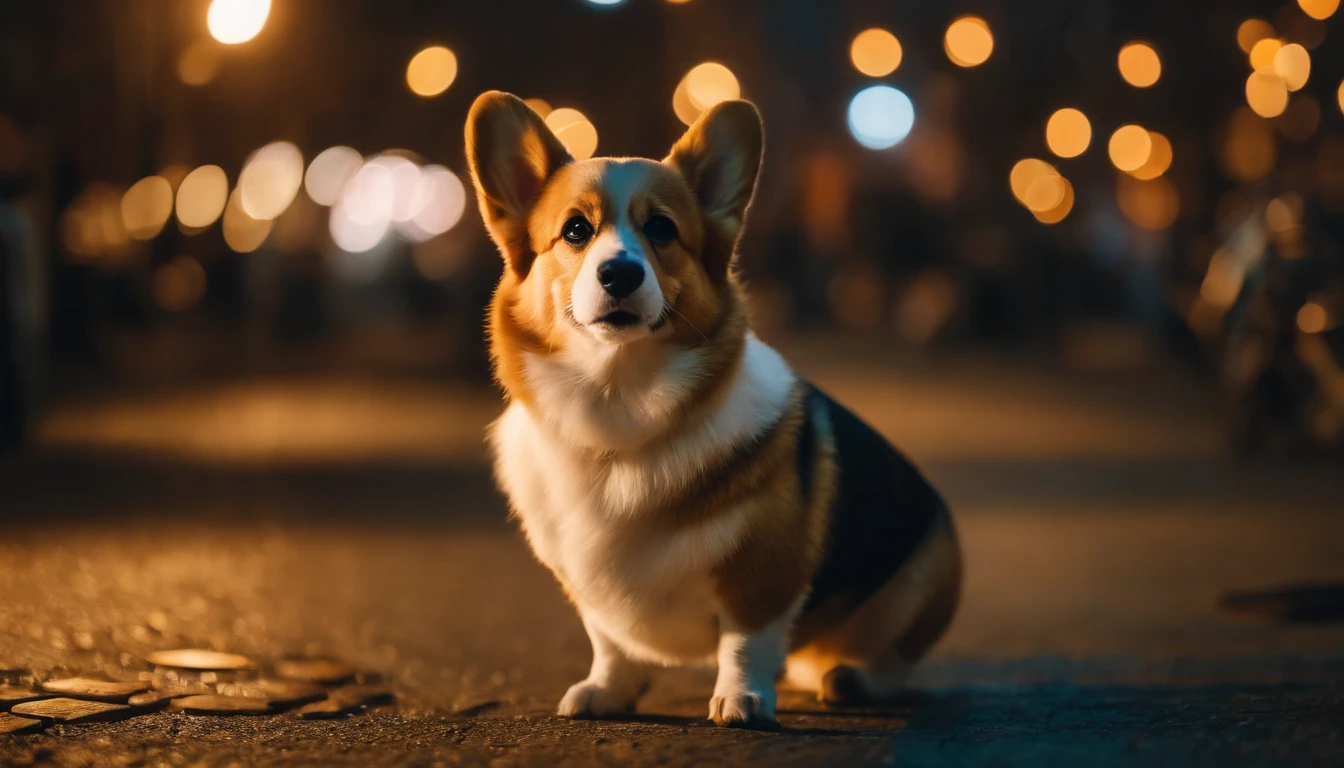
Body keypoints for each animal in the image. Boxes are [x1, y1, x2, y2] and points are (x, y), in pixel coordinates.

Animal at [467, 93, 962, 731]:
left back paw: (846, 679)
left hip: (920, 582)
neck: (618, 402)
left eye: (661, 228)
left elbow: (744, 642)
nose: (619, 272)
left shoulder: (762, 573)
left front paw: (742, 699)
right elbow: (609, 643)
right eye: (575, 230)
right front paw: (608, 690)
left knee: (889, 661)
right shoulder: (588, 589)